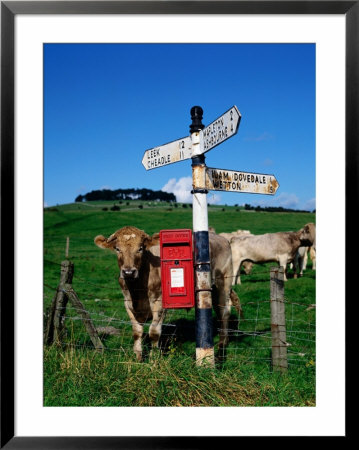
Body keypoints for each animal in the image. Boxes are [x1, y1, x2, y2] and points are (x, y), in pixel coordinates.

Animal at [95, 227, 242, 360]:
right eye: (117, 249)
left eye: (140, 248)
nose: (128, 272)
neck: (138, 290)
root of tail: (221, 238)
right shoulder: (128, 303)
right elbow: (137, 332)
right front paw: (138, 359)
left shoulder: (159, 303)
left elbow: (154, 332)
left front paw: (154, 360)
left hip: (224, 284)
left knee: (224, 312)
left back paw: (223, 343)